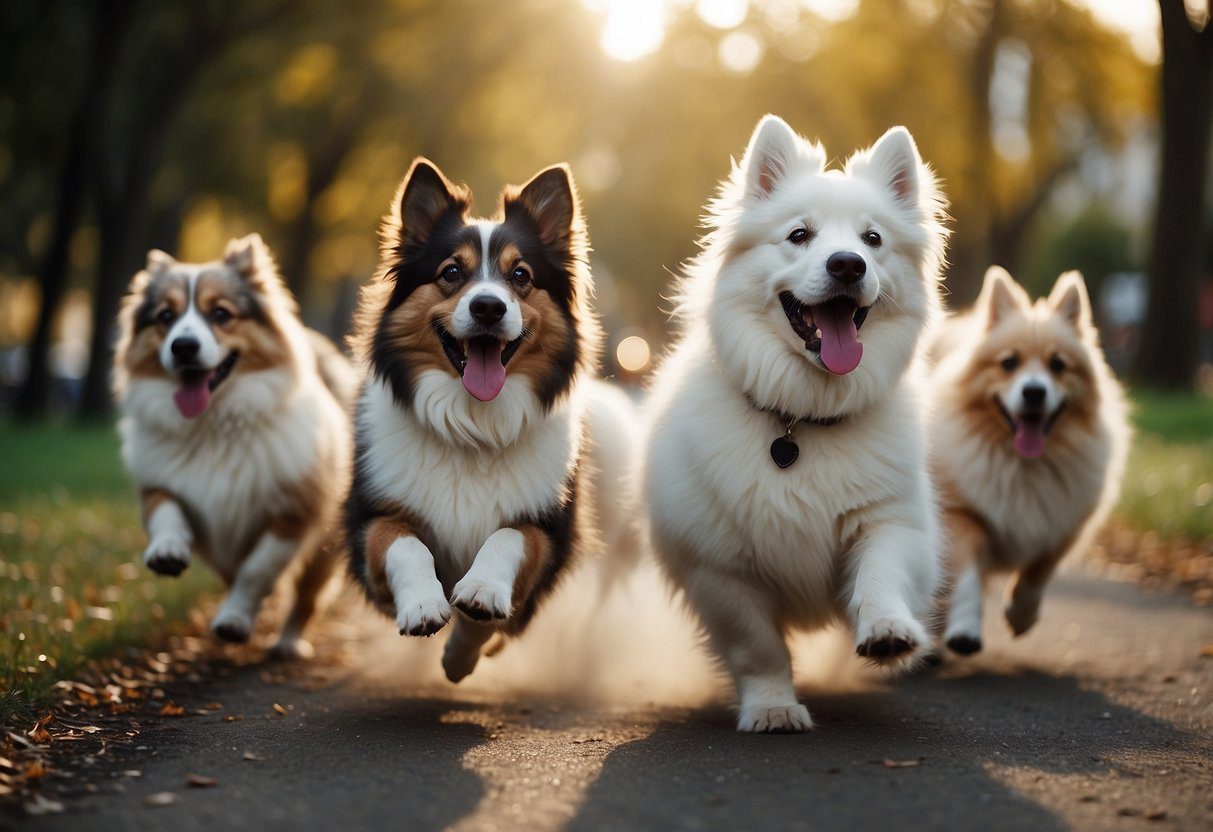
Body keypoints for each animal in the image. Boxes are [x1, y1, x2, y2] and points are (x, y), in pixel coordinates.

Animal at [112, 237, 354, 659]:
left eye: (221, 313)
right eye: (165, 316)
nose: (183, 347)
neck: (215, 424)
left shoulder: (292, 515)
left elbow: (255, 572)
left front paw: (234, 621)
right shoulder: (160, 485)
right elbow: (168, 514)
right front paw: (168, 552)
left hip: (323, 551)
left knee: (307, 598)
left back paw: (288, 642)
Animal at [344, 157, 635, 684]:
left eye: (520, 274)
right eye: (451, 272)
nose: (488, 306)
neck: (472, 424)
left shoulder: (552, 532)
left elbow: (507, 541)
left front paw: (474, 616)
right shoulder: (369, 518)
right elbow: (403, 543)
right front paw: (423, 606)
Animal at [645, 118, 946, 737]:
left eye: (872, 240)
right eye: (799, 235)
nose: (847, 264)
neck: (801, 419)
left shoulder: (890, 522)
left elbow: (880, 574)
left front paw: (888, 632)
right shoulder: (721, 572)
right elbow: (759, 648)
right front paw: (773, 707)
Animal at [931, 270, 1130, 654]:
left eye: (1058, 365)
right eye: (1009, 363)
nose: (1034, 392)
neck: (1021, 465)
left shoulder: (1062, 523)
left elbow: (1038, 573)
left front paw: (1021, 616)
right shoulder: (961, 515)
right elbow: (966, 580)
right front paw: (964, 631)